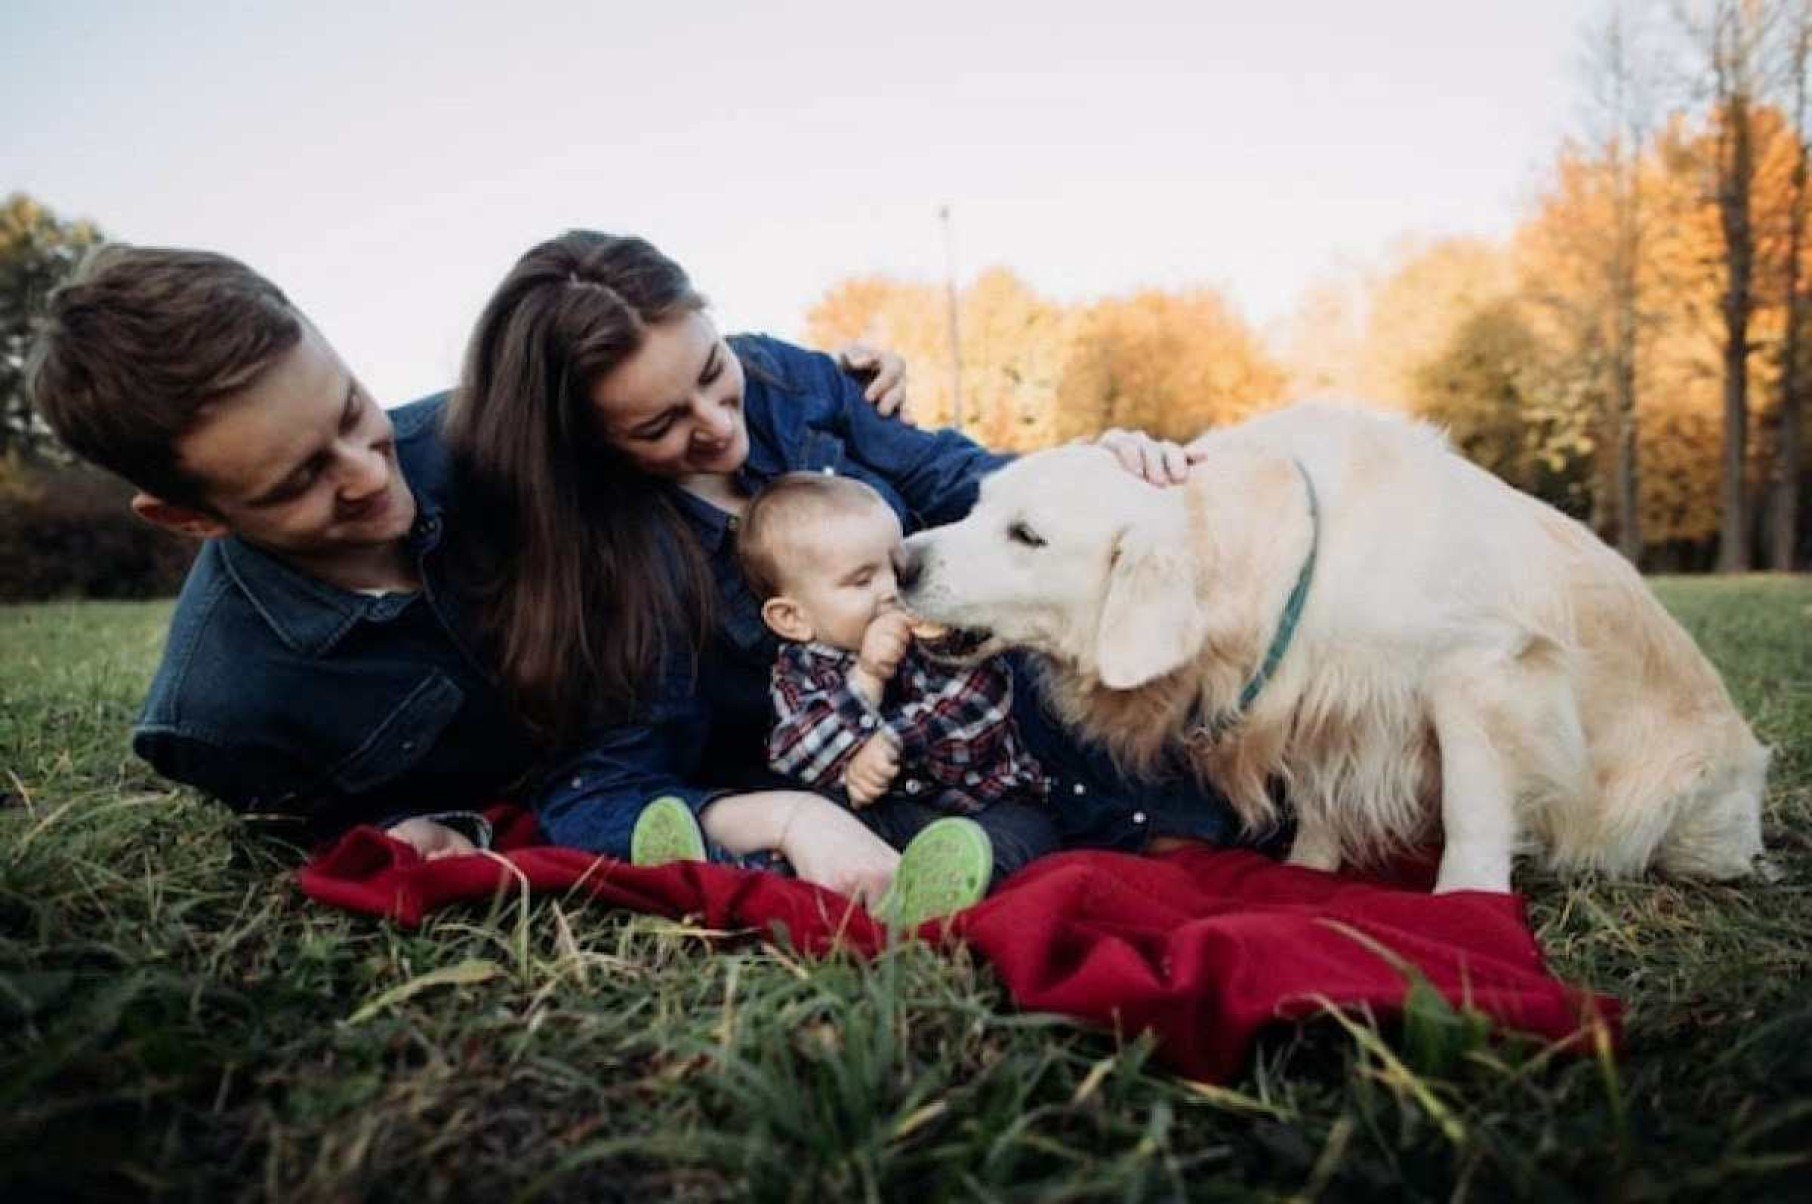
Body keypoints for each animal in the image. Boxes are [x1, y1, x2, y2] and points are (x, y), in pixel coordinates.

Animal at [906, 406, 1768, 892]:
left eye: (1027, 535)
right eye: (977, 508)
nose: (902, 560)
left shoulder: (1484, 677)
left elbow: (1473, 812)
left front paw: (1467, 907)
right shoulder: (1321, 705)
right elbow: (1321, 809)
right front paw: (1306, 877)